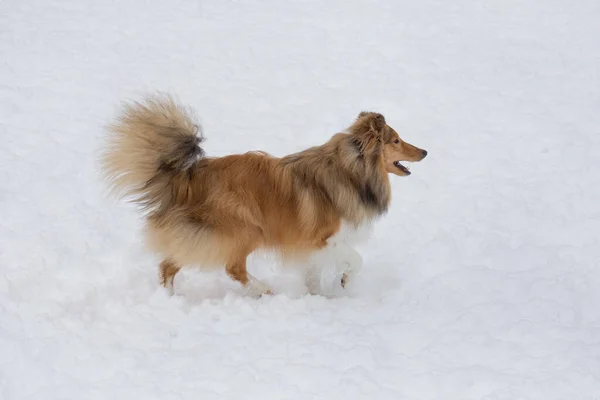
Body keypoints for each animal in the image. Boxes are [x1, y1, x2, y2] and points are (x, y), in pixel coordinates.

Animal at [102, 94, 426, 296]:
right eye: (396, 140)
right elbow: (356, 260)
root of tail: (185, 177)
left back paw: (171, 299)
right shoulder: (324, 239)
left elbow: (313, 276)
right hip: (245, 229)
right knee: (232, 268)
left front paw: (319, 298)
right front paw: (344, 281)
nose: (424, 151)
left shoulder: (310, 245)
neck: (351, 169)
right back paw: (263, 291)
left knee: (167, 265)